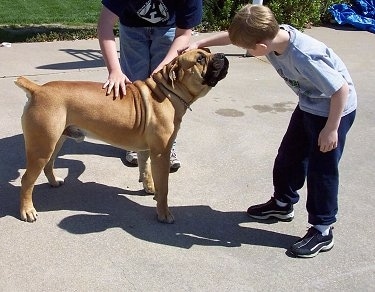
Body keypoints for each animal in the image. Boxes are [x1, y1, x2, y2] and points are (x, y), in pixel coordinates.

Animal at [13, 49, 229, 224]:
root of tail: (37, 89)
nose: (222, 55)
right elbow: (165, 187)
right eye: (200, 58)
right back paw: (27, 211)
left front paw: (150, 188)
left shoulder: (146, 149)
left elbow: (145, 169)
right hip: (42, 146)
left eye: (208, 51)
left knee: (48, 165)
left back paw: (54, 182)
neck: (169, 91)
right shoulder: (161, 153)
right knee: (26, 180)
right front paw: (163, 213)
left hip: (56, 141)